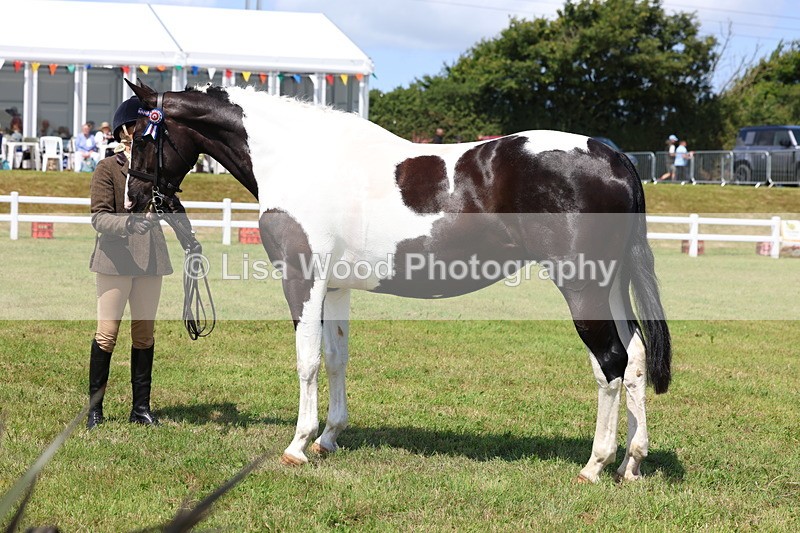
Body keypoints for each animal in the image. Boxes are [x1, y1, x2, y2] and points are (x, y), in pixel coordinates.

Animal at [123, 80, 671, 483]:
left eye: (136, 137)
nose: (135, 201)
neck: (299, 158)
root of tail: (613, 156)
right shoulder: (336, 287)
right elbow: (336, 358)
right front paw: (329, 438)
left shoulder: (303, 281)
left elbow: (307, 361)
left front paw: (298, 444)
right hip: (608, 286)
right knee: (636, 358)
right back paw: (632, 463)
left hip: (581, 288)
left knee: (610, 363)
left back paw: (595, 465)